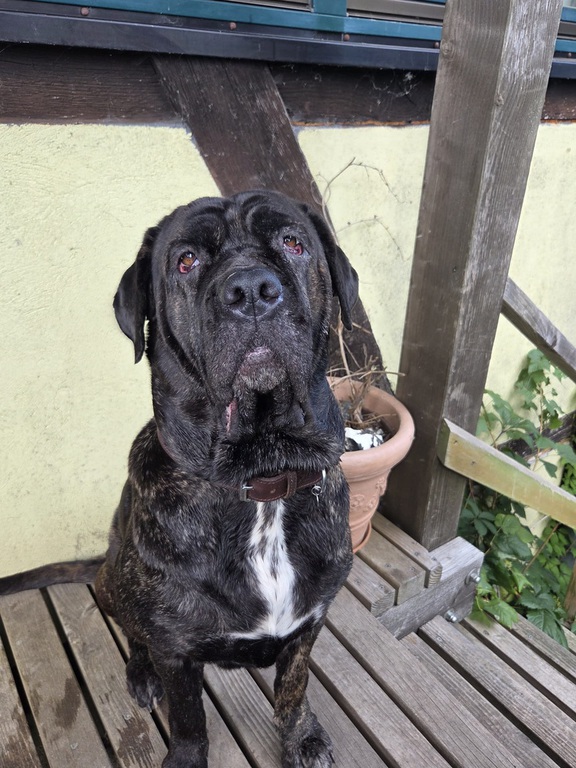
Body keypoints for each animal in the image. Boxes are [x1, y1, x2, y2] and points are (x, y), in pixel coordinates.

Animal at [0, 190, 359, 768]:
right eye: (185, 261)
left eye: (293, 242)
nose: (251, 290)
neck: (259, 476)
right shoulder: (175, 649)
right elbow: (188, 714)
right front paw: (187, 754)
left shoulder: (311, 622)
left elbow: (294, 685)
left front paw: (301, 735)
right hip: (113, 580)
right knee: (133, 633)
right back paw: (140, 674)